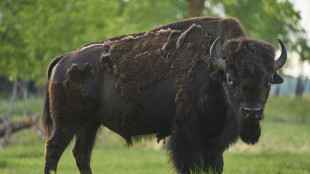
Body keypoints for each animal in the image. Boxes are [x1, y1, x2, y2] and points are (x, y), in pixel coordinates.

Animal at [42, 16, 286, 174]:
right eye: (231, 78)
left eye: (267, 80)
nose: (251, 112)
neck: (213, 72)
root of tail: (65, 59)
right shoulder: (188, 134)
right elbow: (192, 166)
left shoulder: (214, 141)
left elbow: (215, 166)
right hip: (68, 123)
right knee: (54, 150)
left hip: (90, 124)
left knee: (81, 155)